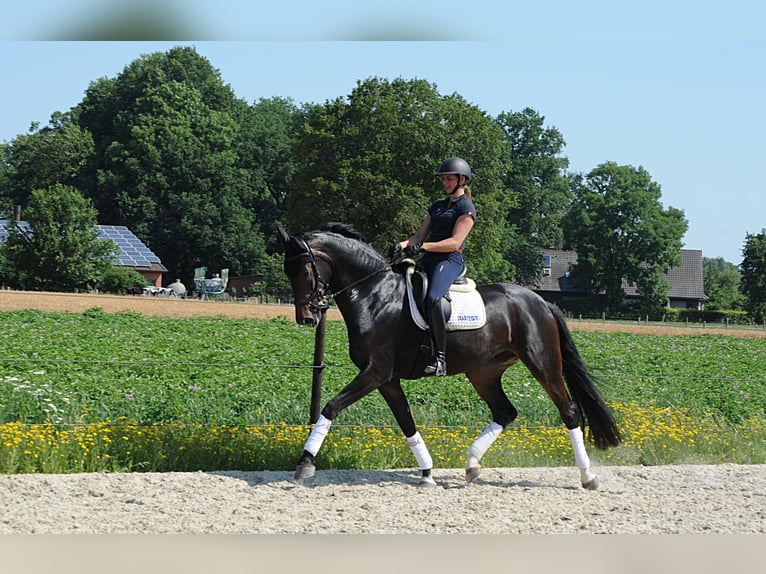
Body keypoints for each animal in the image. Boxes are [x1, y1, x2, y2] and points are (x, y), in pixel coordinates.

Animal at [280, 224, 620, 490]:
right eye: (288, 271)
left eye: (304, 269)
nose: (307, 318)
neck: (374, 295)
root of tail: (540, 301)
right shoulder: (387, 379)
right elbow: (407, 423)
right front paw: (427, 473)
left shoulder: (375, 372)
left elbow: (331, 407)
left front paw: (305, 462)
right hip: (483, 372)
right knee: (505, 412)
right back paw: (471, 465)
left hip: (543, 363)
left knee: (569, 411)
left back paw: (588, 477)